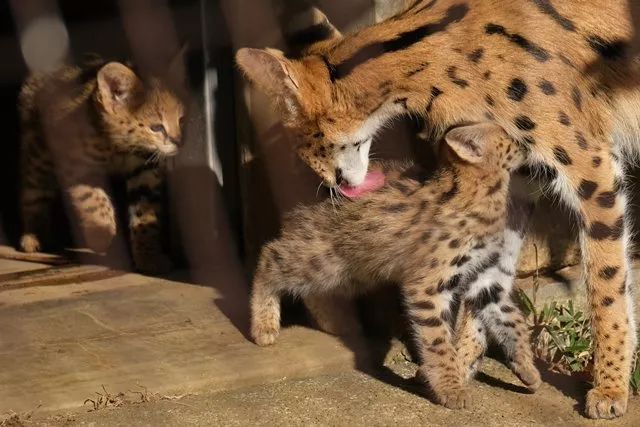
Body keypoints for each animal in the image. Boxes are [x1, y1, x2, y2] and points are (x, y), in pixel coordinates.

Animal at [18, 56, 184, 274]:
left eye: (181, 120)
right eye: (156, 127)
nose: (179, 142)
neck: (120, 148)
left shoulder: (145, 172)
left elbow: (145, 216)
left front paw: (149, 257)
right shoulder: (77, 164)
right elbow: (94, 201)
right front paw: (103, 237)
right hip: (39, 159)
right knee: (32, 195)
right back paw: (31, 237)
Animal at [250, 123, 540, 408]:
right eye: (509, 138)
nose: (529, 145)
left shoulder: (484, 278)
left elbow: (512, 320)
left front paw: (527, 368)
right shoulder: (428, 285)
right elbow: (438, 341)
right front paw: (451, 388)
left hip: (355, 271)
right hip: (325, 260)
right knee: (269, 255)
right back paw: (264, 325)